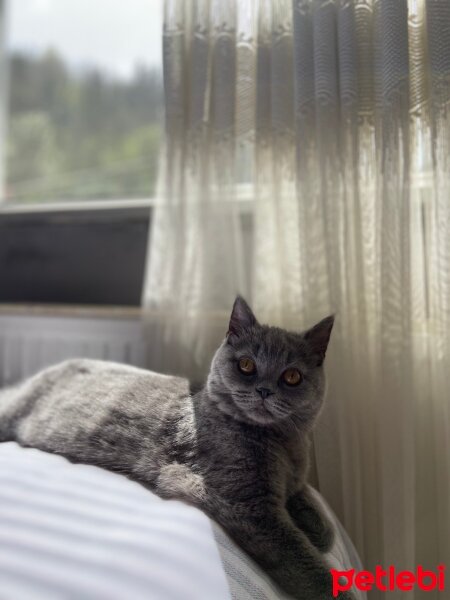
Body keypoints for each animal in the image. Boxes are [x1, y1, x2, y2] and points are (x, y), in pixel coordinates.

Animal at [0, 298, 352, 596]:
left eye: (292, 376)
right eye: (246, 365)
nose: (264, 390)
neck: (281, 444)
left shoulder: (293, 481)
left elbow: (314, 510)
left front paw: (318, 530)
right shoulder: (250, 506)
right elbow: (301, 559)